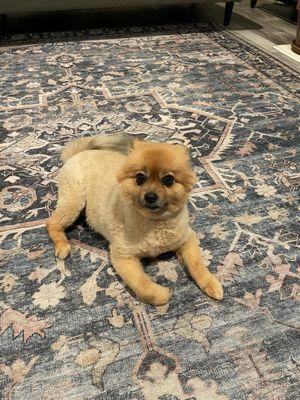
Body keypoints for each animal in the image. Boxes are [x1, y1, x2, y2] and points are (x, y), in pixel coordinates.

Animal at [46, 135, 223, 306]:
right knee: (51, 223)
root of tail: (78, 154)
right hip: (74, 201)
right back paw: (62, 246)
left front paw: (210, 283)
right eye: (139, 178)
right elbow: (142, 284)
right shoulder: (123, 256)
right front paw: (161, 294)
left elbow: (197, 264)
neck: (155, 223)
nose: (150, 196)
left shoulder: (187, 239)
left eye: (168, 180)